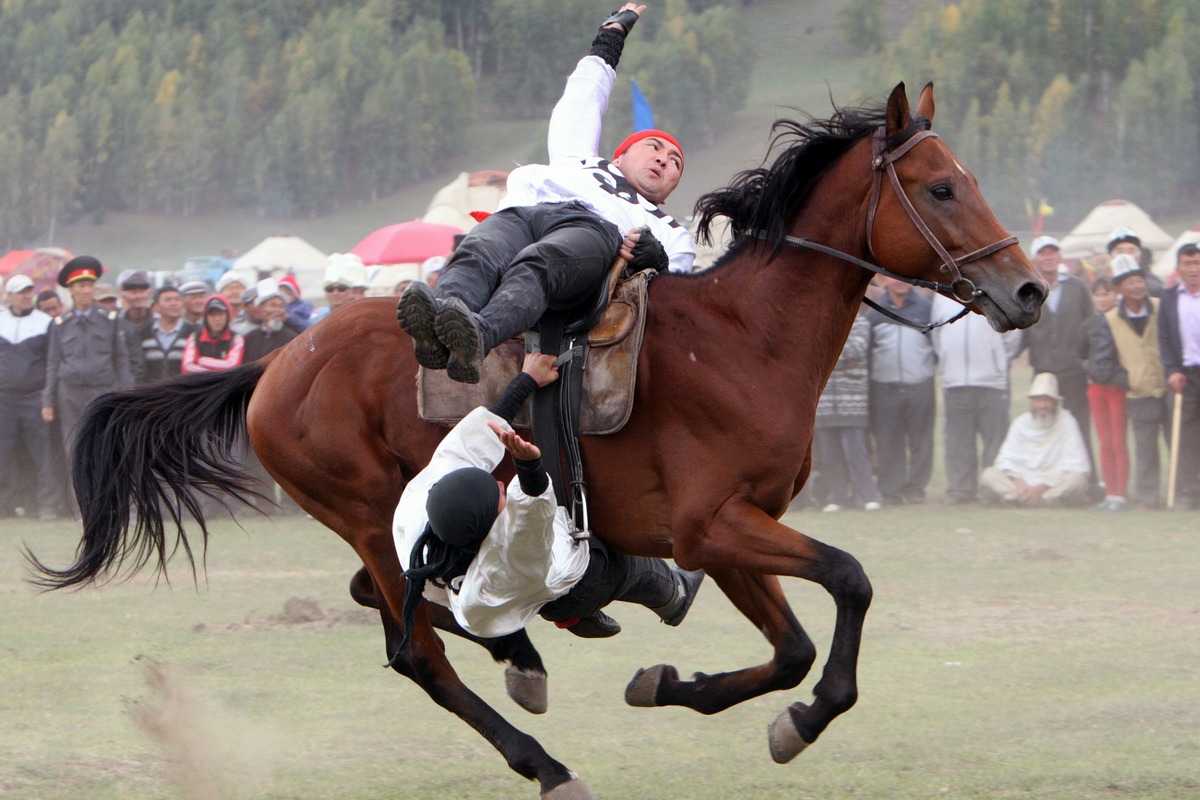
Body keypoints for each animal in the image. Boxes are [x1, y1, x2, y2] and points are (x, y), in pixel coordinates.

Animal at [28, 82, 1041, 800]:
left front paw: (678, 687)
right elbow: (849, 582)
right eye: (942, 186)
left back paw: (531, 645)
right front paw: (806, 715)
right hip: (365, 507)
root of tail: (278, 361)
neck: (744, 336)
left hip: (392, 518)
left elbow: (789, 646)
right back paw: (542, 754)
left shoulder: (720, 532)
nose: (1028, 291)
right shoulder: (717, 525)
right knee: (413, 649)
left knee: (390, 602)